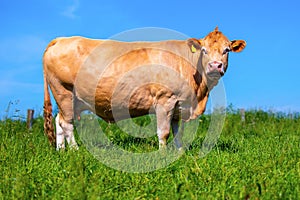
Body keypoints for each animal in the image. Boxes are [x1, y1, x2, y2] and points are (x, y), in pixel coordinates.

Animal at [44, 27, 246, 150]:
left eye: (227, 50)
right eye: (204, 50)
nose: (215, 66)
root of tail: (61, 39)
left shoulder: (179, 105)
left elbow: (177, 133)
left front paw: (180, 153)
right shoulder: (165, 100)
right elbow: (164, 132)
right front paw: (163, 155)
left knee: (59, 121)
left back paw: (62, 151)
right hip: (63, 92)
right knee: (67, 123)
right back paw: (75, 150)